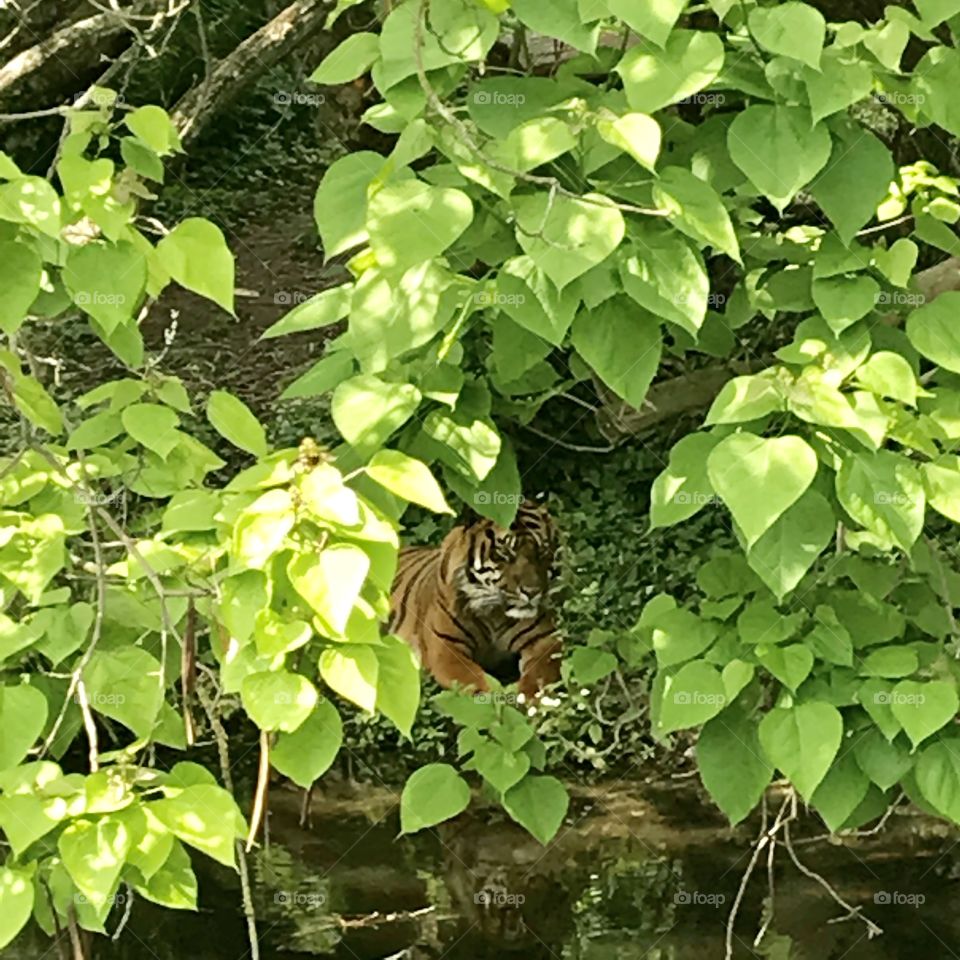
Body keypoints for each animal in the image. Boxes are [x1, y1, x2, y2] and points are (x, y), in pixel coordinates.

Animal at [388, 502, 564, 696]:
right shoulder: (445, 646)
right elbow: (474, 680)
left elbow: (538, 677)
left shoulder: (545, 640)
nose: (532, 592)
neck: (495, 614)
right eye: (504, 553)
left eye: (542, 551)